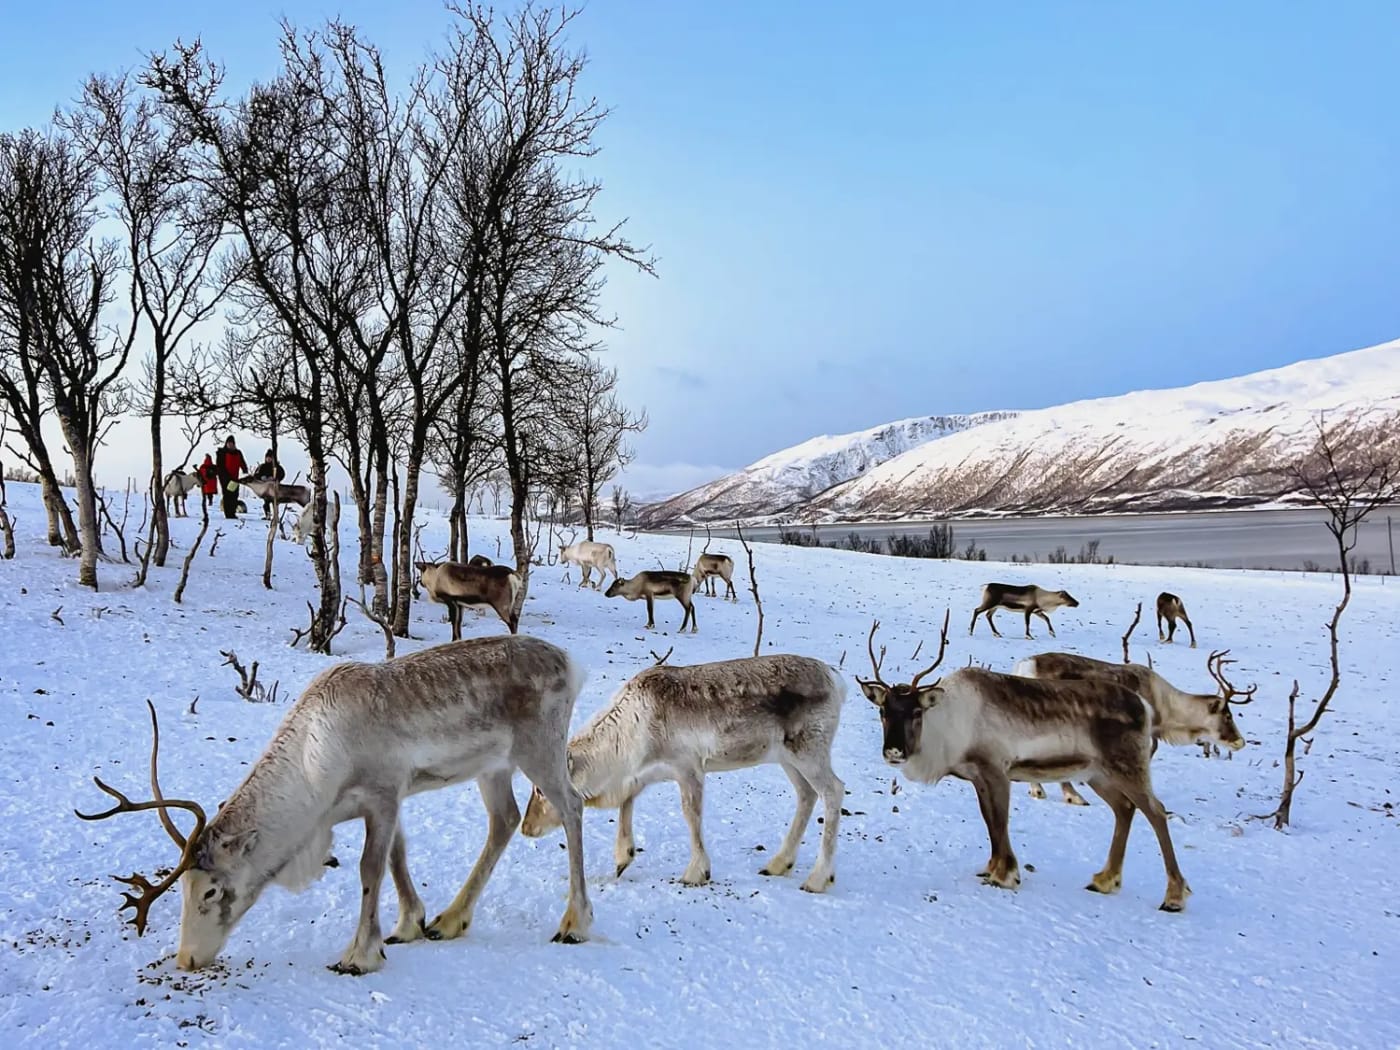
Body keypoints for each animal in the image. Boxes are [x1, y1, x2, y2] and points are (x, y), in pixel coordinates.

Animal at [74, 636, 593, 974]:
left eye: (212, 892)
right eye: (183, 888)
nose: (187, 958)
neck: (316, 769)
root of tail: (571, 662)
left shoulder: (383, 792)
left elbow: (370, 868)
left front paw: (359, 955)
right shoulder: (389, 799)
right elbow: (398, 856)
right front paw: (409, 925)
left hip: (538, 747)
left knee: (572, 804)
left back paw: (574, 922)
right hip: (493, 765)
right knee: (504, 819)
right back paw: (449, 921)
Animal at [521, 653, 845, 892]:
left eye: (540, 789)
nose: (526, 828)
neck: (623, 744)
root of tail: (836, 679)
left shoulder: (688, 767)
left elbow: (691, 815)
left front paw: (696, 872)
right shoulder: (646, 773)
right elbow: (628, 801)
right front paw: (623, 857)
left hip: (809, 750)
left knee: (833, 790)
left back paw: (818, 878)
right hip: (787, 757)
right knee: (806, 794)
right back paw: (778, 864)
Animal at [859, 613, 1191, 912]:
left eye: (916, 712)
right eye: (883, 711)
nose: (894, 752)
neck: (947, 724)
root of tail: (1145, 706)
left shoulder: (996, 770)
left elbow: (1000, 820)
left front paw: (1005, 875)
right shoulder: (978, 776)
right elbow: (989, 820)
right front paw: (991, 867)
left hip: (1128, 766)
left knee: (1156, 811)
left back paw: (1174, 896)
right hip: (1098, 774)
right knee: (1124, 808)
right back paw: (1105, 880)